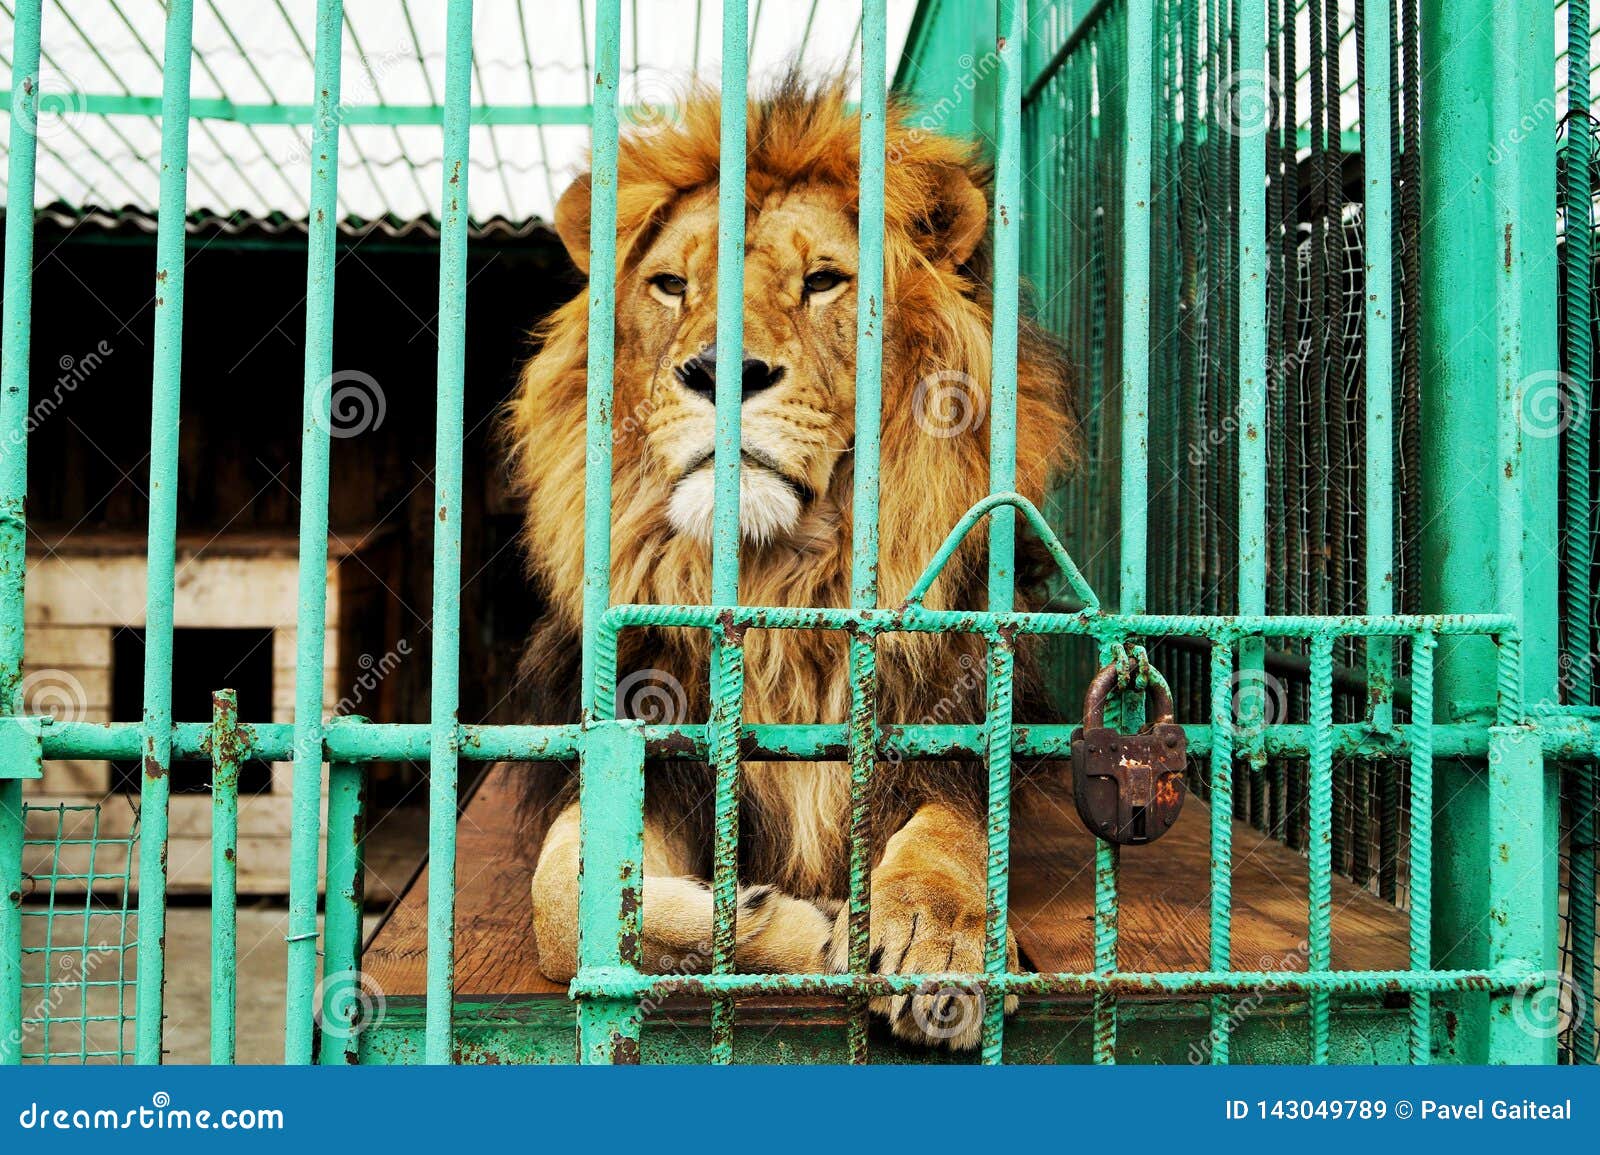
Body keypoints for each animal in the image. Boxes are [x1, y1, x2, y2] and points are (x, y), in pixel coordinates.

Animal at [505, 77, 1079, 1051]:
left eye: (822, 281)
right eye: (671, 285)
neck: (779, 586)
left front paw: (943, 939)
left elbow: (953, 834)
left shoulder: (950, 728)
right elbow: (563, 901)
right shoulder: (653, 756)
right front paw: (791, 926)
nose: (717, 371)